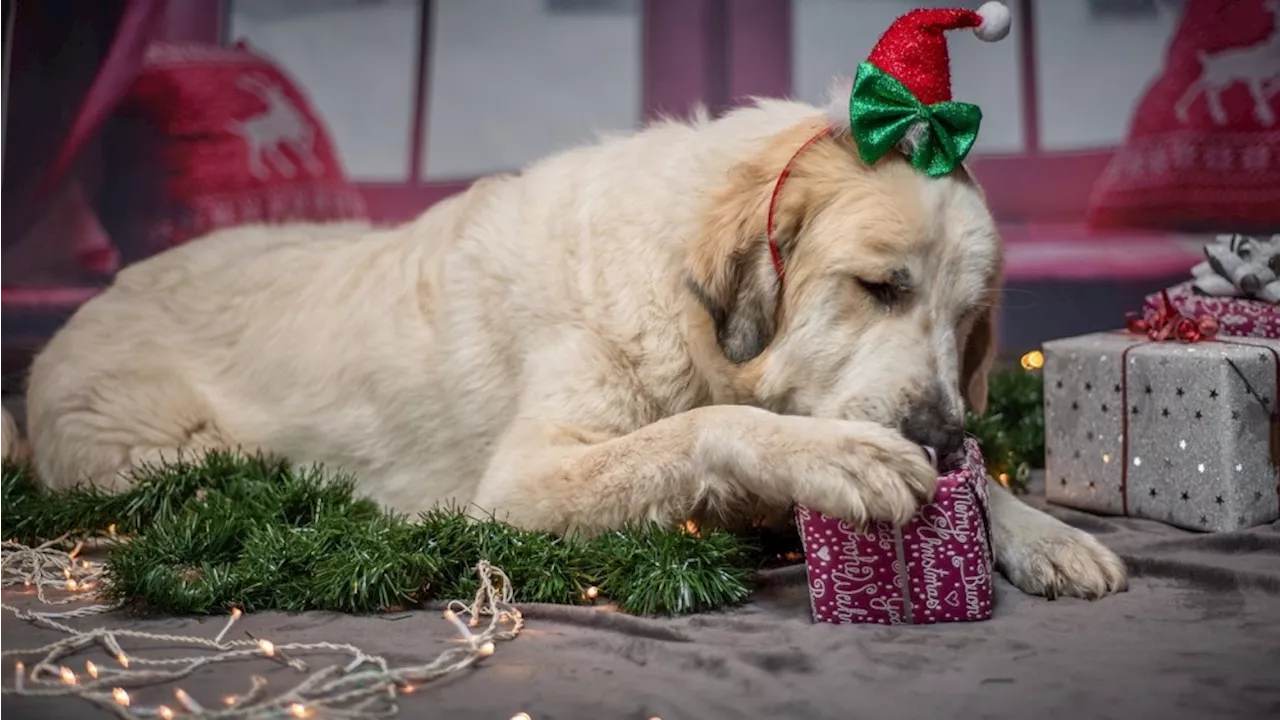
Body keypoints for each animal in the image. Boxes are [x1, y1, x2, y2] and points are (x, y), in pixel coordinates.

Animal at [7, 89, 1131, 599]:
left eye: (966, 322)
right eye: (878, 287)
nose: (939, 437)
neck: (690, 311)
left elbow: (978, 484)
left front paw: (1039, 529)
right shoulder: (524, 483)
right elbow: (705, 427)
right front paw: (837, 458)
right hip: (164, 454)